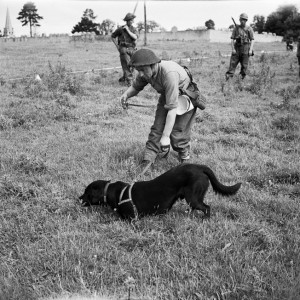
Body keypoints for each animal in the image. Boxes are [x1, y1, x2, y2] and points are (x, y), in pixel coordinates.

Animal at [79, 164, 241, 220]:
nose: (78, 198)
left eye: (86, 192)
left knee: (207, 208)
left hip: (193, 198)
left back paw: (204, 220)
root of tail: (200, 167)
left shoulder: (132, 219)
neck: (116, 193)